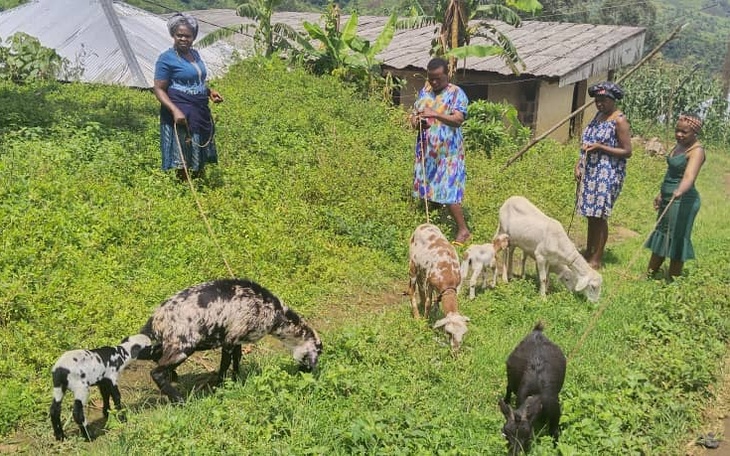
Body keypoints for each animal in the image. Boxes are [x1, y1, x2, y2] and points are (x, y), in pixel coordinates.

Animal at [139, 278, 323, 403]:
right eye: (317, 352)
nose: (308, 373)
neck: (276, 314)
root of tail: (157, 319)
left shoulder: (237, 339)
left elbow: (236, 360)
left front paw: (236, 382)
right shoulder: (229, 340)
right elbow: (225, 364)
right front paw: (219, 387)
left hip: (169, 343)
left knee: (153, 356)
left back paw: (174, 378)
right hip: (183, 345)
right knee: (156, 372)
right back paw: (180, 400)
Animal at [499, 322, 566, 455]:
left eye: (528, 436)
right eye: (505, 434)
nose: (515, 452)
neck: (537, 395)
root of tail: (537, 333)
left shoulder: (556, 414)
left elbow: (554, 432)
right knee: (509, 387)